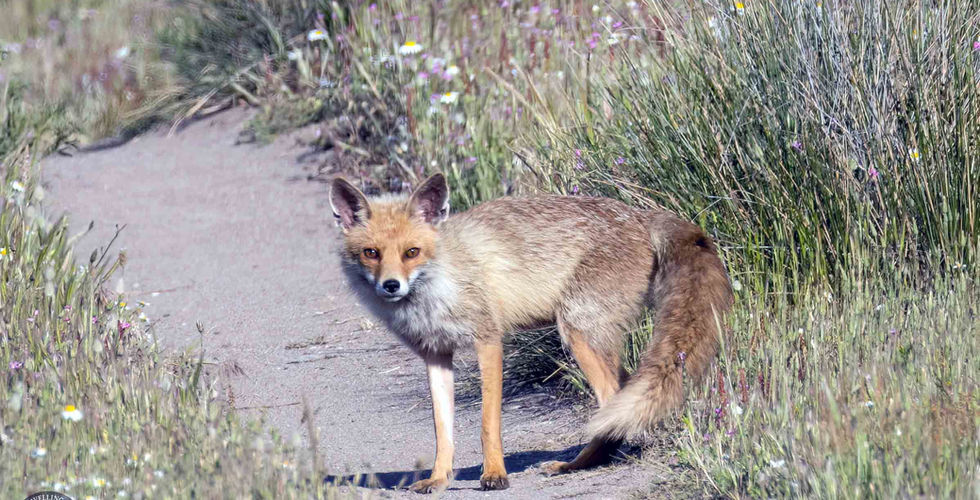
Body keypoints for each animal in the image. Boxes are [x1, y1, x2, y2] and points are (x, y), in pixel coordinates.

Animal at [329, 173, 733, 493]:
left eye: (412, 252)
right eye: (371, 253)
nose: (391, 286)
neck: (440, 282)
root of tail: (639, 214)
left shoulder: (488, 339)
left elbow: (488, 423)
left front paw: (494, 474)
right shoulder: (436, 355)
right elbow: (443, 432)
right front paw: (439, 478)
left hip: (577, 331)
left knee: (611, 402)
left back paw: (577, 464)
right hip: (596, 337)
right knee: (625, 394)